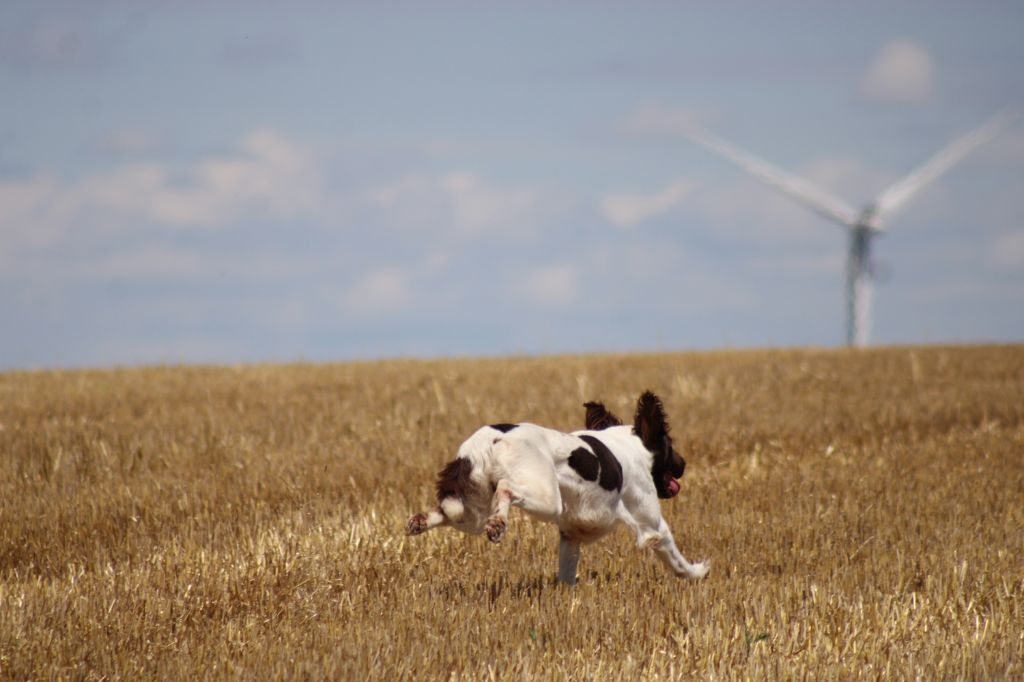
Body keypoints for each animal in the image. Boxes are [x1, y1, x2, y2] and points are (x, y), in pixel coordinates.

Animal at [403, 391, 708, 581]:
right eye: (670, 444)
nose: (684, 464)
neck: (632, 447)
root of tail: (486, 441)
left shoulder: (570, 536)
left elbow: (566, 573)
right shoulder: (651, 525)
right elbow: (676, 558)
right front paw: (699, 572)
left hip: (473, 509)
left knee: (449, 512)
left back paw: (419, 521)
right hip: (547, 497)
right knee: (506, 489)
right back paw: (498, 524)